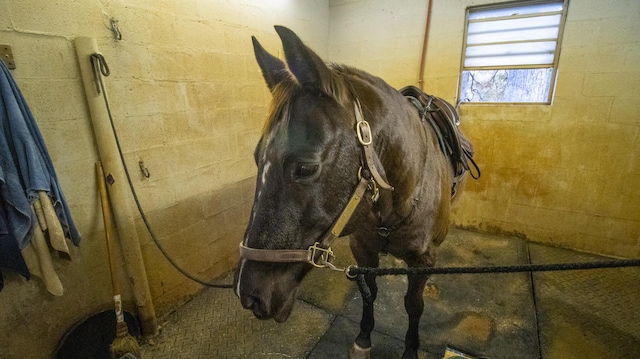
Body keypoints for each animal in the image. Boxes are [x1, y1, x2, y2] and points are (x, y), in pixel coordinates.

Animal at [234, 26, 476, 359]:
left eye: (306, 168)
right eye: (257, 158)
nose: (249, 295)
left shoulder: (423, 260)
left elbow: (414, 306)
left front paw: (410, 349)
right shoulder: (363, 248)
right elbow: (369, 293)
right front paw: (363, 339)